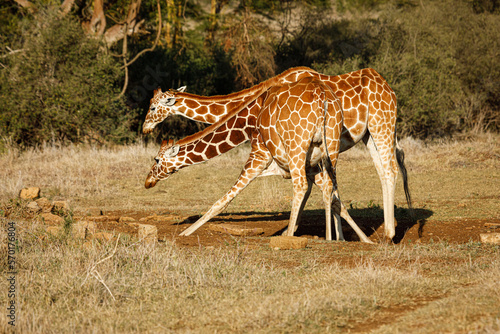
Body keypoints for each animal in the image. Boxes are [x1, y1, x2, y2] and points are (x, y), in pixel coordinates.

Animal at [143, 66, 412, 241]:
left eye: (153, 107)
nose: (145, 128)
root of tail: (388, 87)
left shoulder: (283, 153)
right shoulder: (307, 158)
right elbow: (327, 193)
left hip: (381, 124)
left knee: (390, 169)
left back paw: (389, 234)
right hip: (368, 136)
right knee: (385, 169)